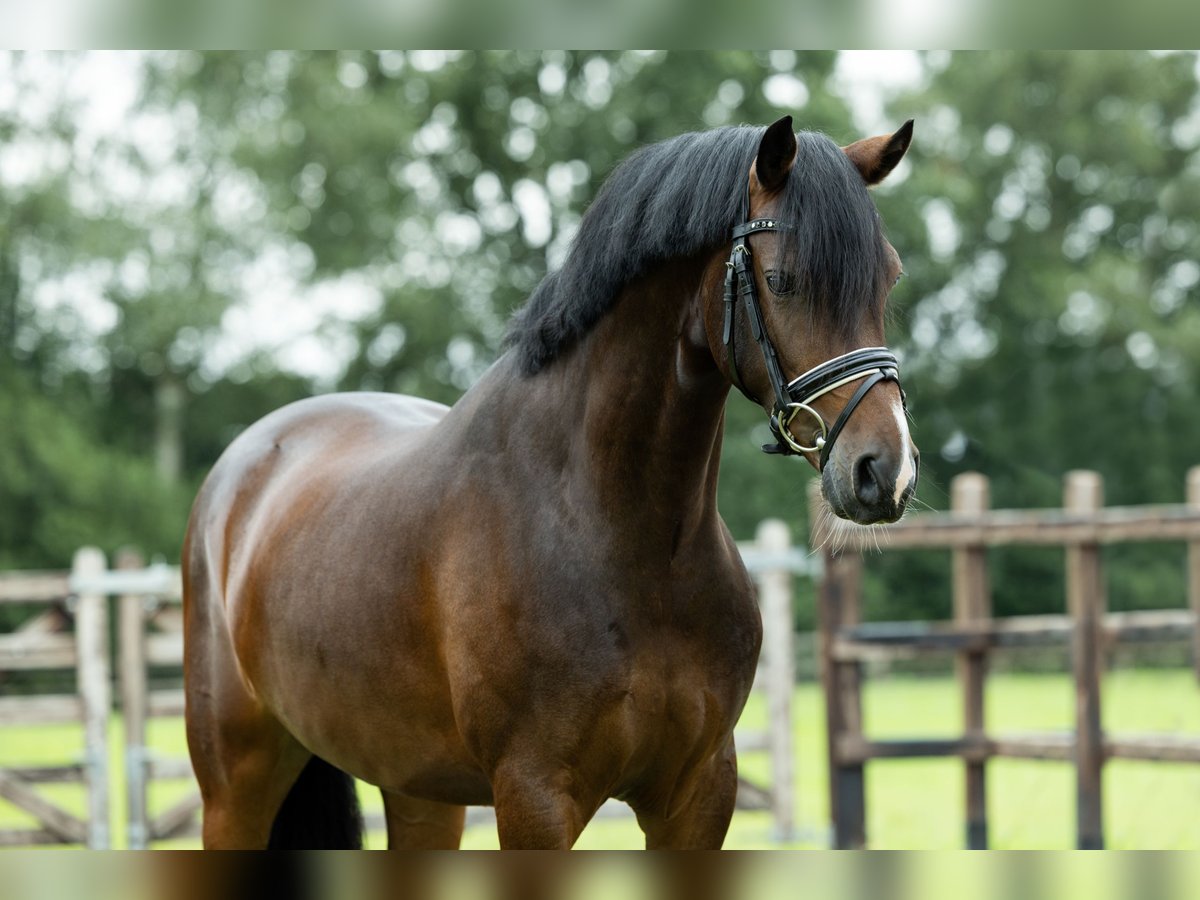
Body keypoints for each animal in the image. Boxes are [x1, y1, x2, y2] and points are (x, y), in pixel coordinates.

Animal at [182, 116, 916, 849]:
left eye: (890, 279)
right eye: (781, 279)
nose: (885, 471)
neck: (622, 538)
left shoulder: (700, 795)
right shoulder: (534, 798)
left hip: (418, 788)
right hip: (236, 786)